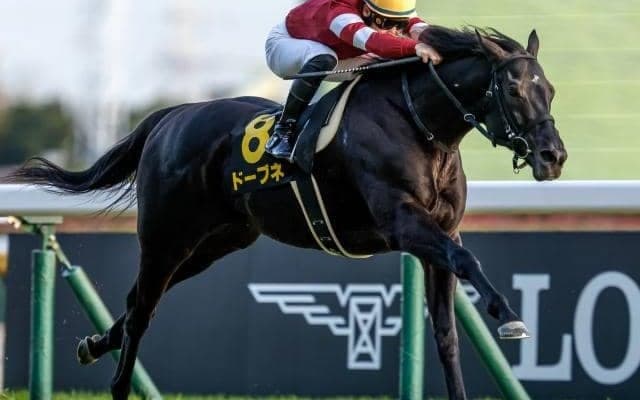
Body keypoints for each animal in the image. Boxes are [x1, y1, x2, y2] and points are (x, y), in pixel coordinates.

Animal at [10, 26, 566, 399]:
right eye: (513, 88)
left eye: (550, 89)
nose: (553, 155)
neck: (419, 124)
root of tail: (172, 116)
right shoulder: (406, 223)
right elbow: (468, 262)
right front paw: (510, 318)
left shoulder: (440, 234)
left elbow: (448, 334)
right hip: (166, 236)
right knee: (142, 306)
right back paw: (118, 382)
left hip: (218, 242)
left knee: (141, 303)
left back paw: (93, 344)